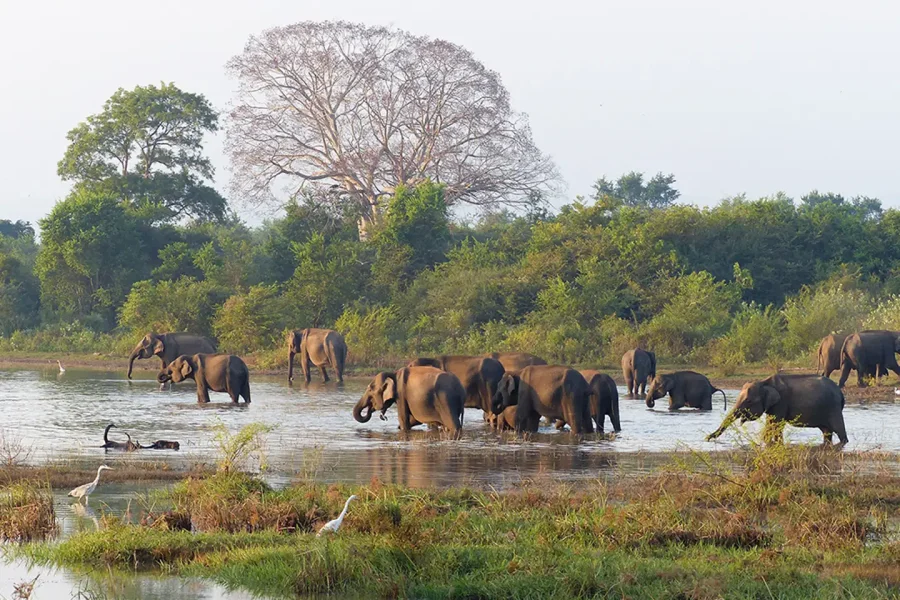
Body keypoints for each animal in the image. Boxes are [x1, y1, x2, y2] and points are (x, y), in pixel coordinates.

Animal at [706, 374, 848, 446]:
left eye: (749, 401)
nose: (706, 438)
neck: (764, 382)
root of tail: (841, 393)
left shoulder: (781, 402)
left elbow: (776, 424)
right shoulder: (773, 405)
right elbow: (771, 423)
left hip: (833, 407)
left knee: (838, 428)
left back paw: (843, 442)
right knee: (826, 431)